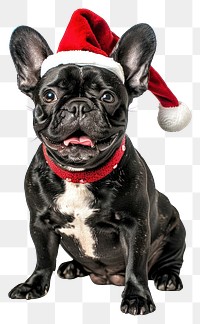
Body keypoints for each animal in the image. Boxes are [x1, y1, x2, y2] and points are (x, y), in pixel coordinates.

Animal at [8, 23, 185, 316]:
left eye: (107, 96)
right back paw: (72, 266)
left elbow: (136, 263)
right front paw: (33, 285)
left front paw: (137, 297)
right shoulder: (40, 222)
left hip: (176, 229)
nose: (79, 105)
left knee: (171, 260)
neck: (80, 176)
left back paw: (167, 277)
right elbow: (43, 257)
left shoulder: (135, 225)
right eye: (49, 95)